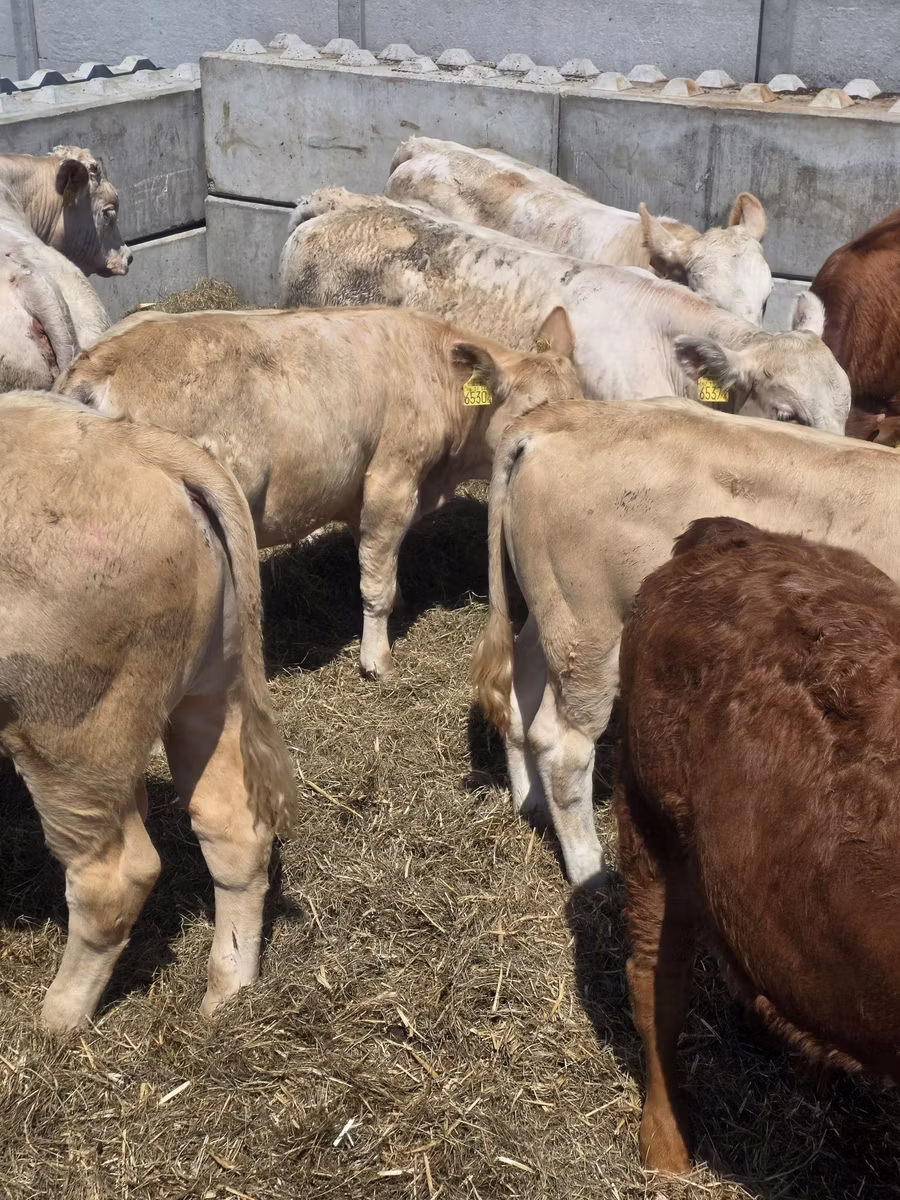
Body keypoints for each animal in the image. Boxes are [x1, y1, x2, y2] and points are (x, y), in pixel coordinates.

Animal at [0, 393, 295, 1032]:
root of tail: (139, 443)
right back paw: (225, 996)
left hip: (67, 723)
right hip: (212, 686)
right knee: (232, 826)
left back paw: (55, 1023)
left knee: (115, 875)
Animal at [54, 303, 581, 678]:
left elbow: (376, 560)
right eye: (532, 411)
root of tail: (101, 360)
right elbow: (375, 581)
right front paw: (377, 659)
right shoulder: (392, 480)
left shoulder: (357, 491)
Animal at [471, 398, 900, 888]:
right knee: (563, 746)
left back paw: (531, 804)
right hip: (591, 626)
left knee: (519, 681)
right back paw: (591, 871)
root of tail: (561, 416)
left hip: (552, 611)